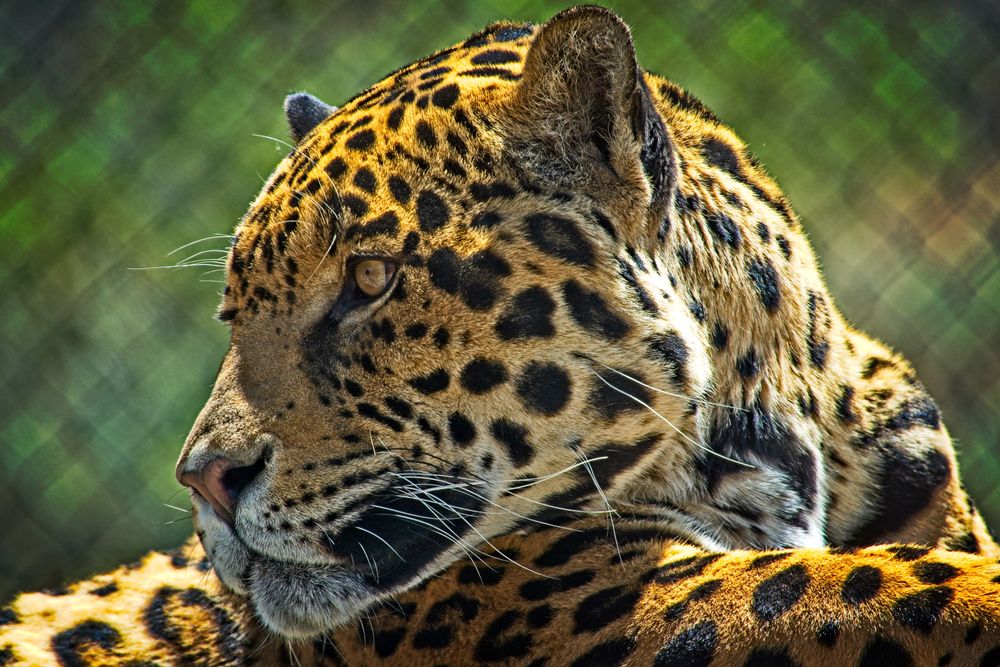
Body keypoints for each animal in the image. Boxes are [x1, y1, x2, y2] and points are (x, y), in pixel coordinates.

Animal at [2, 6, 999, 666]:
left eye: (370, 279)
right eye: (233, 313)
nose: (204, 480)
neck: (785, 437)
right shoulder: (588, 598)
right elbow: (875, 586)